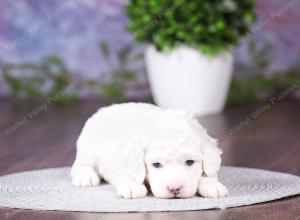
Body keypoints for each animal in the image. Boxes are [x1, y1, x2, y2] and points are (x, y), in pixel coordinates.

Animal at [71, 103, 229, 199]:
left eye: (190, 162)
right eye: (156, 165)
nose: (174, 189)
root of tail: (103, 110)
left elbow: (209, 173)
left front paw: (212, 185)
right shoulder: (119, 161)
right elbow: (126, 174)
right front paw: (133, 186)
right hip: (87, 149)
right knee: (80, 164)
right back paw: (85, 177)